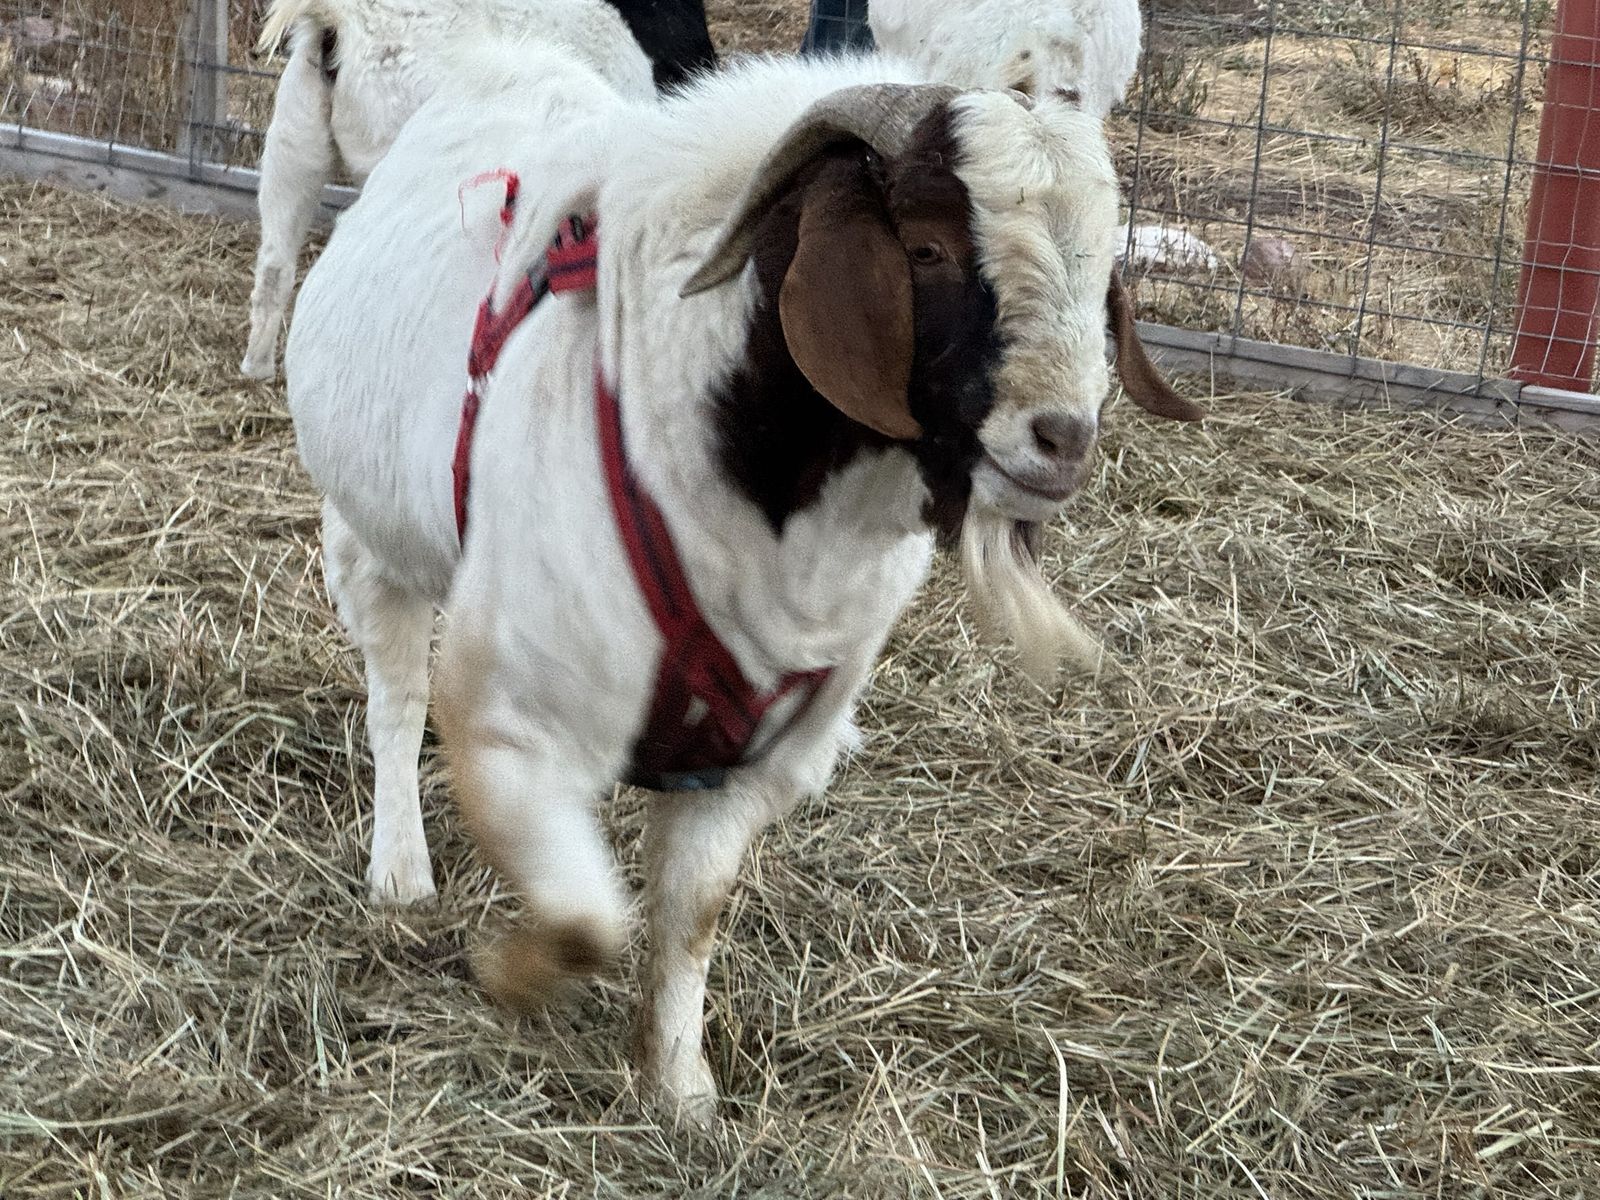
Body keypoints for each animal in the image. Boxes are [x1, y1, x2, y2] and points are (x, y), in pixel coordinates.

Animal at [284, 45, 1201, 1119]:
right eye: (927, 247)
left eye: (1104, 274)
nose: (1061, 440)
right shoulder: (514, 724)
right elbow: (586, 921)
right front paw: (512, 974)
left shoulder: (751, 760)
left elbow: (690, 915)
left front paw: (681, 1092)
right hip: (370, 541)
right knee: (395, 698)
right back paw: (400, 871)